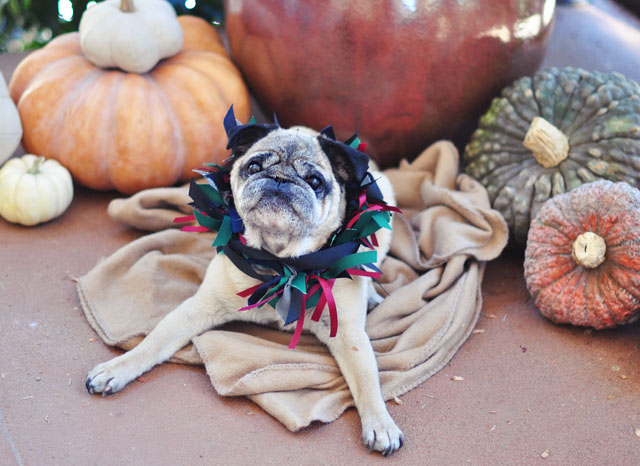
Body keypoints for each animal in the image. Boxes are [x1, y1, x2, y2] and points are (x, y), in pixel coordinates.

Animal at [86, 119, 404, 456]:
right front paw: (117, 368)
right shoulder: (197, 308)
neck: (280, 264)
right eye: (254, 167)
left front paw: (381, 424)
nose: (279, 179)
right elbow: (152, 343)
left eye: (315, 181)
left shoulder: (349, 335)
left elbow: (367, 381)